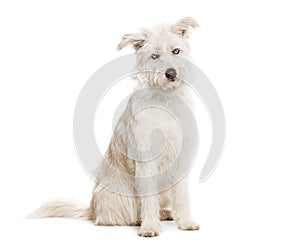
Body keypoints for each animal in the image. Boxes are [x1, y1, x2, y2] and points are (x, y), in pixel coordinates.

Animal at [32, 16, 200, 236]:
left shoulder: (181, 157)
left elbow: (182, 196)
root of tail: (92, 208)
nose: (171, 73)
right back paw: (142, 219)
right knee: (117, 216)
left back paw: (164, 213)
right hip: (119, 193)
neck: (165, 100)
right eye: (154, 56)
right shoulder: (146, 160)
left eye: (176, 51)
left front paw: (186, 222)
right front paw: (149, 227)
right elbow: (148, 198)